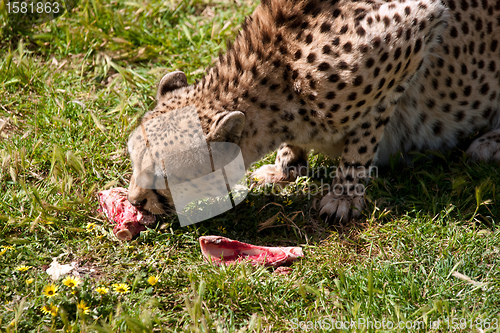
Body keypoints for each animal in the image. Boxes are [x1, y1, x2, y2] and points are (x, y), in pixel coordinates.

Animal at [127, 0, 500, 223]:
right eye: (133, 160)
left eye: (165, 178)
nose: (133, 202)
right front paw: (288, 165)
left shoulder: (416, 27)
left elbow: (367, 132)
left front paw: (344, 196)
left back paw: (488, 143)